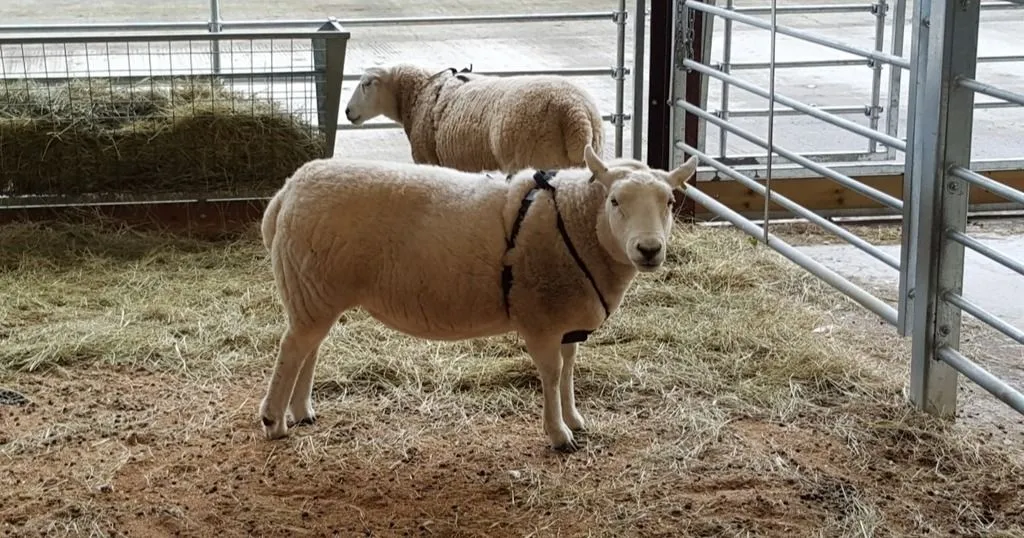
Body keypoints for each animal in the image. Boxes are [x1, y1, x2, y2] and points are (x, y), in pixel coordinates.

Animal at [260, 144, 700, 450]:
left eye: (670, 202)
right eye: (614, 201)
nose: (649, 250)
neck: (574, 221)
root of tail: (288, 191)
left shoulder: (566, 317)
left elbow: (570, 369)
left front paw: (573, 418)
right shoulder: (540, 317)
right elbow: (552, 372)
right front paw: (559, 434)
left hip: (315, 290)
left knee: (308, 348)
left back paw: (301, 411)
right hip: (310, 285)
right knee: (291, 349)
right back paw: (274, 421)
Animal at [344, 62, 606, 173]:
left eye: (366, 84)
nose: (347, 111)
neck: (420, 94)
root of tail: (576, 112)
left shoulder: (427, 159)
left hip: (534, 157)